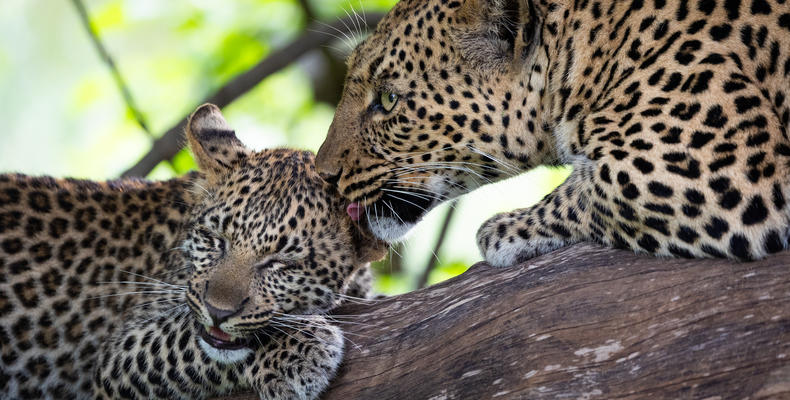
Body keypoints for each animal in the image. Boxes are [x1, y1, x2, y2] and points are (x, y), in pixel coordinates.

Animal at [0, 103, 385, 399]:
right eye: (215, 239)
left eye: (282, 264)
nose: (217, 312)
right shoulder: (117, 360)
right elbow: (184, 341)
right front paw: (300, 348)